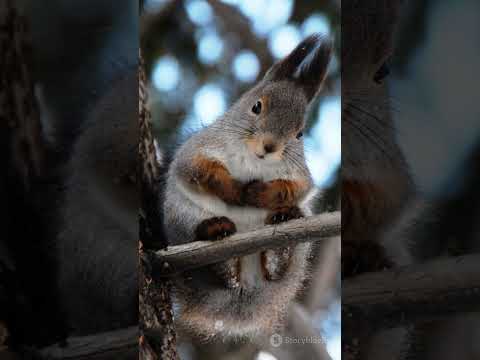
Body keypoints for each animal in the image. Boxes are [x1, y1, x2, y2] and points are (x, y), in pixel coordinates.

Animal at [163, 33, 332, 340]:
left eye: (300, 133)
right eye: (256, 106)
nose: (270, 147)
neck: (254, 161)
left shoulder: (301, 175)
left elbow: (297, 188)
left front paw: (260, 193)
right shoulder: (196, 151)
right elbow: (199, 171)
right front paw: (233, 189)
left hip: (298, 251)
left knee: (279, 264)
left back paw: (283, 232)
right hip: (181, 218)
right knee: (210, 266)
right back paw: (215, 234)